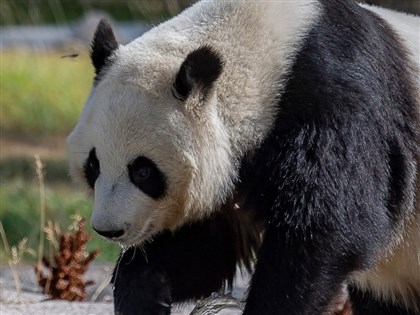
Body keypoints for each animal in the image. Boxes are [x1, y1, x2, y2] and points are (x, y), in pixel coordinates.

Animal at [67, 0, 418, 314]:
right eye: (93, 165)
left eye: (143, 171)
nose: (109, 229)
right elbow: (206, 251)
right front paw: (145, 289)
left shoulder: (335, 102)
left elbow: (329, 228)